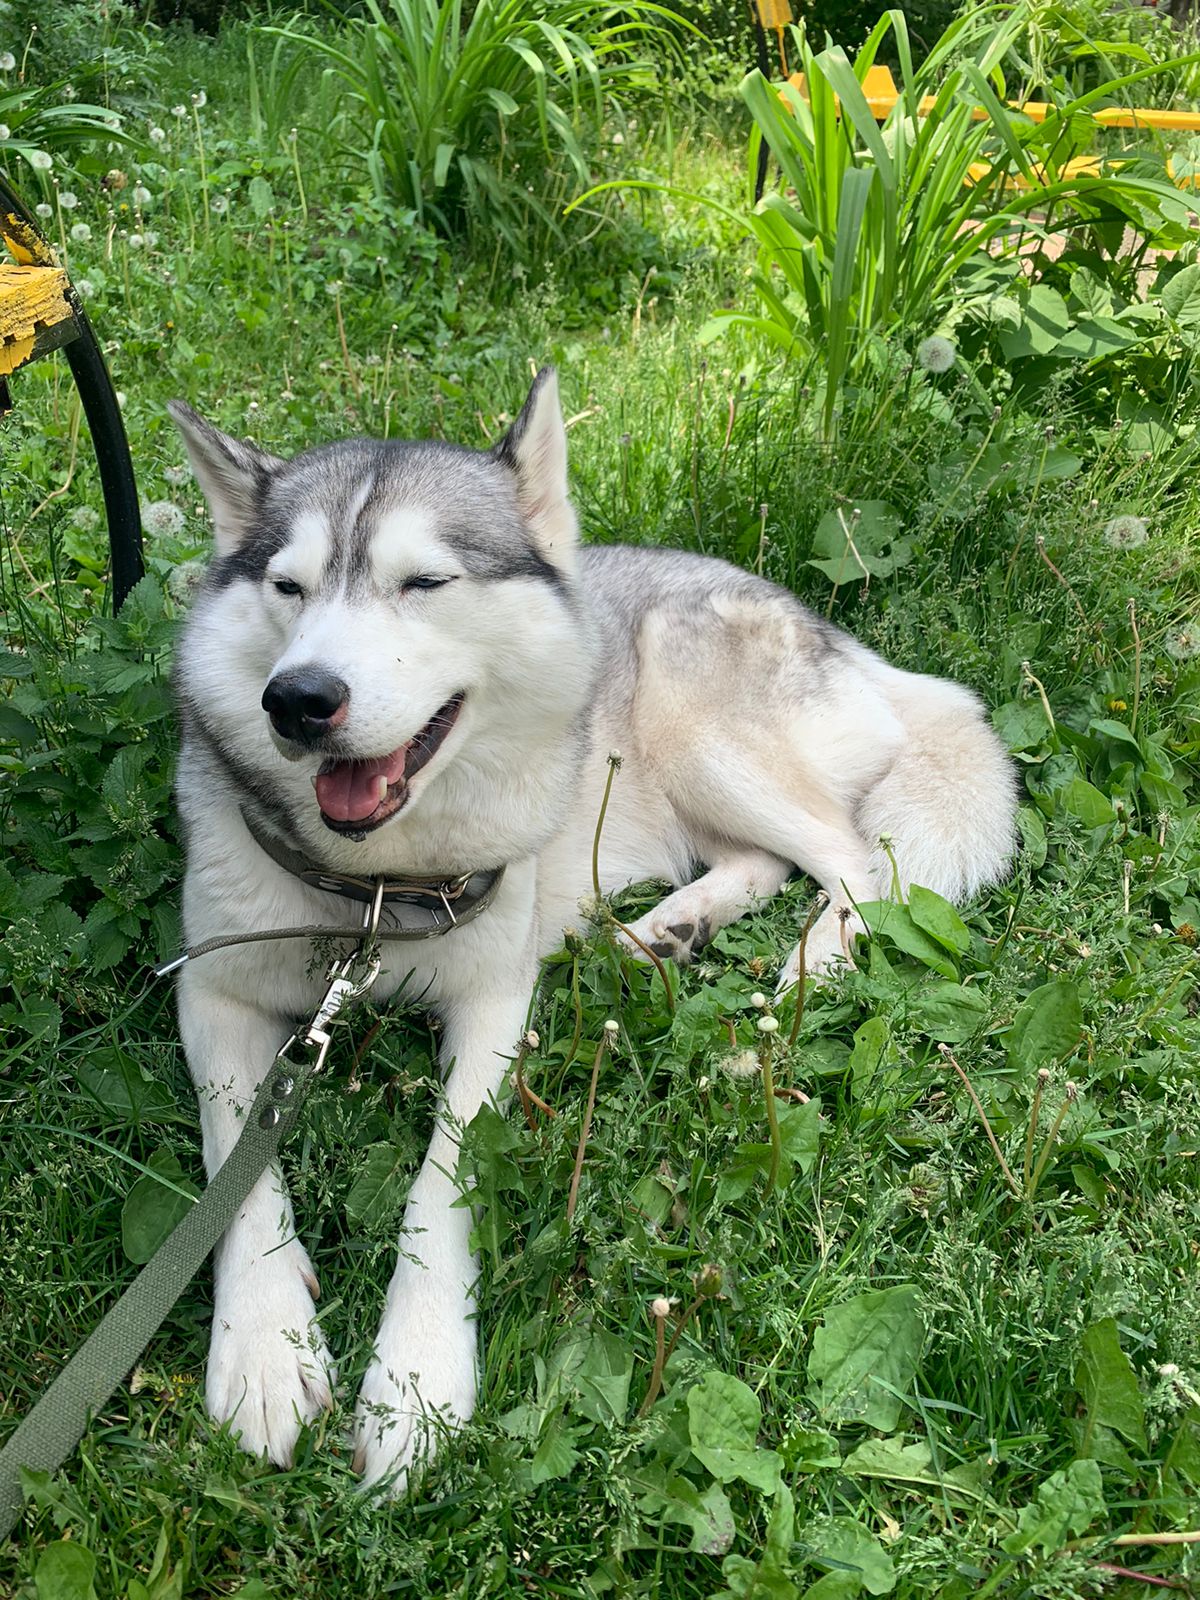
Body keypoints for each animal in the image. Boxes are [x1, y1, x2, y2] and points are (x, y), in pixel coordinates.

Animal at [169, 368, 1017, 1491]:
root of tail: (843, 641)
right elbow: (236, 1158)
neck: (373, 893)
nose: (298, 699)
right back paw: (659, 936)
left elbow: (441, 1186)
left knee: (852, 863)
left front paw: (415, 1379)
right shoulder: (211, 987)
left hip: (699, 729)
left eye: (425, 582)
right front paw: (264, 1348)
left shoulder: (492, 1003)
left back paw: (793, 988)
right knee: (761, 863)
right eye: (287, 588)